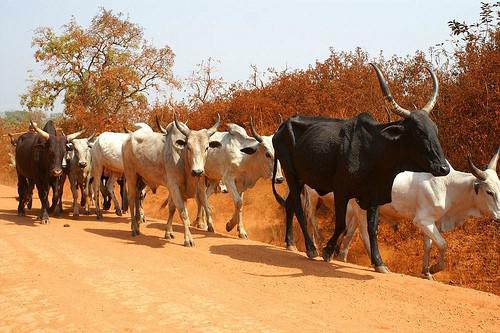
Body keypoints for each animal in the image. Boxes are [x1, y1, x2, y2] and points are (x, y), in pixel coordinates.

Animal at [272, 63, 452, 272]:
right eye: (418, 131)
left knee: (290, 204)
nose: (443, 168)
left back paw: (290, 242)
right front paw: (328, 251)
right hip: (291, 173)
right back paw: (310, 248)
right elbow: (341, 225)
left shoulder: (374, 196)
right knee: (299, 209)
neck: (374, 150)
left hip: (299, 178)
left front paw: (379, 262)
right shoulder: (341, 192)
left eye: (435, 130)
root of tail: (282, 127)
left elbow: (372, 228)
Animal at [302, 149, 498, 278]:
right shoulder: (422, 221)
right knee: (350, 229)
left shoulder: (431, 222)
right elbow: (443, 244)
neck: (449, 187)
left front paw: (426, 272)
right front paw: (435, 268)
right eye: (489, 191)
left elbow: (428, 245)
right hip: (340, 203)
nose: (498, 216)